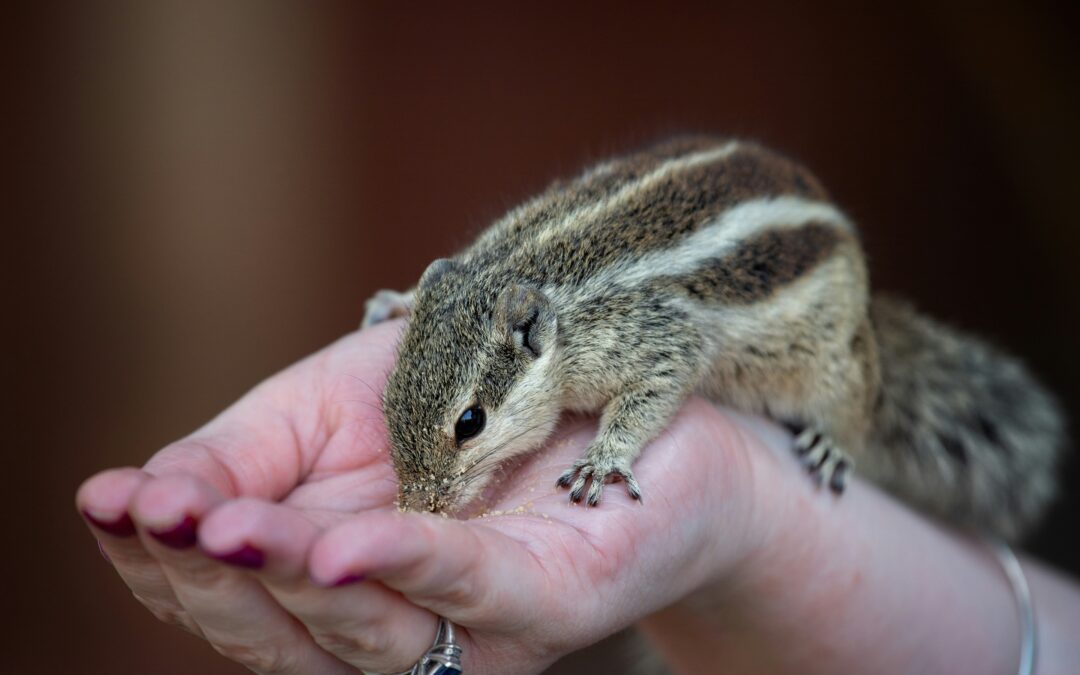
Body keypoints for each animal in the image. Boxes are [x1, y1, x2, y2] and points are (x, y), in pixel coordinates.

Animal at [362, 136, 1065, 541]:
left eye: (470, 423)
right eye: (389, 402)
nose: (419, 507)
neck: (522, 268)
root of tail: (869, 317)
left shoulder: (655, 334)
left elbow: (656, 389)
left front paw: (603, 459)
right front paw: (393, 300)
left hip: (835, 359)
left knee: (857, 402)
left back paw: (833, 441)